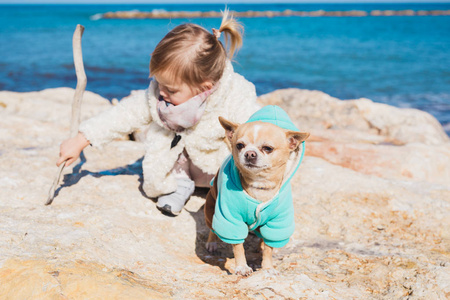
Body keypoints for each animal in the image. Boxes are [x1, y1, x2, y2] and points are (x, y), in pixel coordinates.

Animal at [204, 105, 310, 276]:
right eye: (239, 145)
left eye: (268, 148)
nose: (250, 153)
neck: (260, 184)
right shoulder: (230, 218)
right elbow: (238, 246)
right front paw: (241, 267)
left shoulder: (276, 223)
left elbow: (269, 248)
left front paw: (267, 267)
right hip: (211, 209)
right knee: (213, 228)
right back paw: (212, 243)